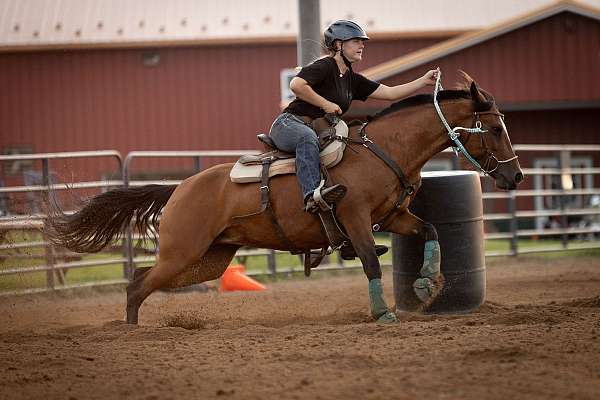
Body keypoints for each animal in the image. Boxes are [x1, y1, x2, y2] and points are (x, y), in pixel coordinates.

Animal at [44, 72, 524, 324]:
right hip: (183, 252)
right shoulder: (353, 217)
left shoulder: (393, 217)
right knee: (138, 284)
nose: (517, 175)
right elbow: (371, 261)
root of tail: (179, 188)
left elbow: (432, 230)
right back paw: (132, 332)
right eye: (494, 128)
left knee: (142, 280)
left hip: (207, 258)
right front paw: (382, 313)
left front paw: (427, 284)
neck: (385, 149)